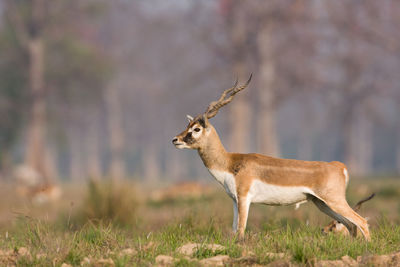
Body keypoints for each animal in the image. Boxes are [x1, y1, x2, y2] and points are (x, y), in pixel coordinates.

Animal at [172, 74, 372, 242]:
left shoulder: (244, 197)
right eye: (188, 125)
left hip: (334, 201)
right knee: (350, 225)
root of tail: (339, 166)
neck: (230, 162)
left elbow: (241, 229)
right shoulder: (235, 200)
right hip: (322, 204)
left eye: (196, 128)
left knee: (361, 221)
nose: (175, 140)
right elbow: (235, 228)